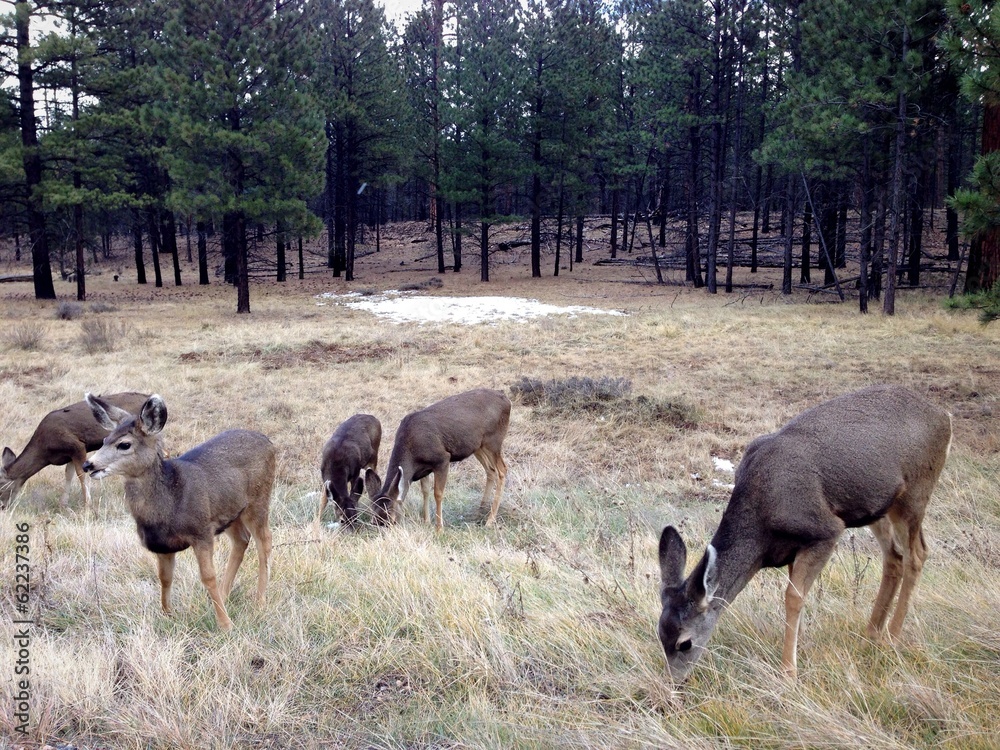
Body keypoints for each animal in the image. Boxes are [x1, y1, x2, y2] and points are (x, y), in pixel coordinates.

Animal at [0, 392, 149, 511]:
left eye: (1, 484)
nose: (2, 507)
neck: (44, 450)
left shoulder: (76, 445)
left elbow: (82, 475)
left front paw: (87, 506)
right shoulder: (70, 455)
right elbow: (68, 474)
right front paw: (63, 505)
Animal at [82, 393, 275, 632]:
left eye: (124, 444)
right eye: (104, 440)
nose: (88, 465)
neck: (170, 503)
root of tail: (269, 442)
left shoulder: (202, 531)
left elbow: (208, 576)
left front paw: (225, 624)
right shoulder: (161, 544)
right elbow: (165, 577)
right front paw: (167, 614)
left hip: (258, 500)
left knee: (264, 541)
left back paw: (259, 601)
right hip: (230, 512)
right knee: (242, 540)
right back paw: (223, 595)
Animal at [364, 388, 510, 531]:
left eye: (392, 520)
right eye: (374, 522)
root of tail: (505, 399)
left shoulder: (442, 459)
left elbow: (438, 493)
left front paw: (439, 528)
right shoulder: (423, 469)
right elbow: (425, 491)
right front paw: (427, 522)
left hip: (494, 440)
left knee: (502, 470)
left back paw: (490, 520)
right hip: (478, 446)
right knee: (490, 470)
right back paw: (480, 512)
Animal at [657, 384, 952, 683]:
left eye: (685, 643)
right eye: (660, 636)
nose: (674, 683)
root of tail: (944, 416)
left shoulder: (824, 530)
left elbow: (793, 597)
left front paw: (789, 671)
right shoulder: (793, 548)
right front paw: (797, 653)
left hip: (916, 491)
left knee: (917, 554)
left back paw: (892, 637)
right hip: (878, 506)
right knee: (894, 556)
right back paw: (871, 634)